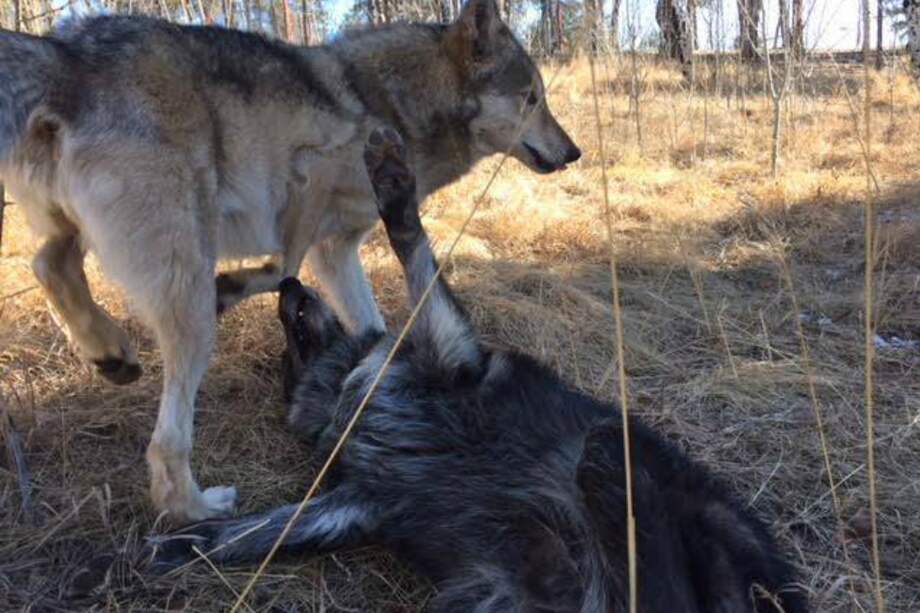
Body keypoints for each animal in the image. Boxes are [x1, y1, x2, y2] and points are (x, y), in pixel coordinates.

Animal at [0, 0, 580, 520]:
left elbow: (367, 320)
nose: (574, 152)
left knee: (47, 265)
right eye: (531, 99)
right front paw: (235, 287)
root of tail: (67, 53)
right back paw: (199, 509)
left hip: (85, 235)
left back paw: (110, 351)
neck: (392, 105)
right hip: (189, 284)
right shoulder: (307, 183)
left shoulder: (337, 251)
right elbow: (283, 268)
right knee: (164, 447)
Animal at [148, 128, 807, 613]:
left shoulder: (452, 352)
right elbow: (259, 529)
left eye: (291, 343)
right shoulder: (362, 497)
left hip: (625, 474)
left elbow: (411, 245)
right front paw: (185, 540)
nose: (285, 284)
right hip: (484, 595)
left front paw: (393, 186)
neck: (350, 385)